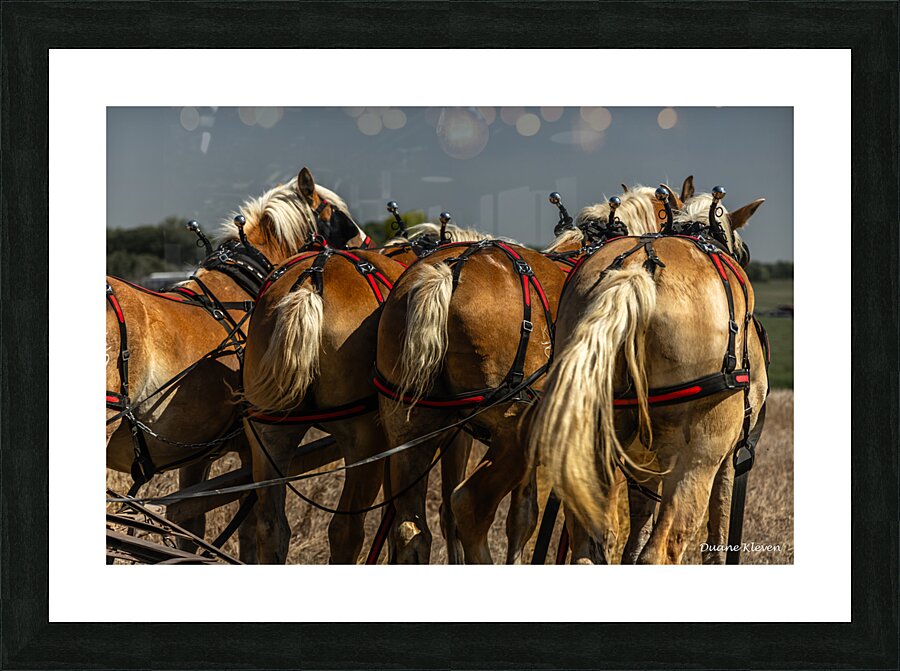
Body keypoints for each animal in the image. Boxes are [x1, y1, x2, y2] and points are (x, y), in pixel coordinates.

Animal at [106, 166, 362, 558]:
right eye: (338, 217)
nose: (365, 243)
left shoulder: (196, 453)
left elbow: (190, 522)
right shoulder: (250, 448)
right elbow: (252, 528)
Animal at [529, 188, 768, 564]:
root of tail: (634, 273)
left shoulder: (643, 460)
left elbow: (635, 531)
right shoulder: (728, 454)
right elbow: (719, 527)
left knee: (587, 546)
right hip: (700, 453)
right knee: (662, 549)